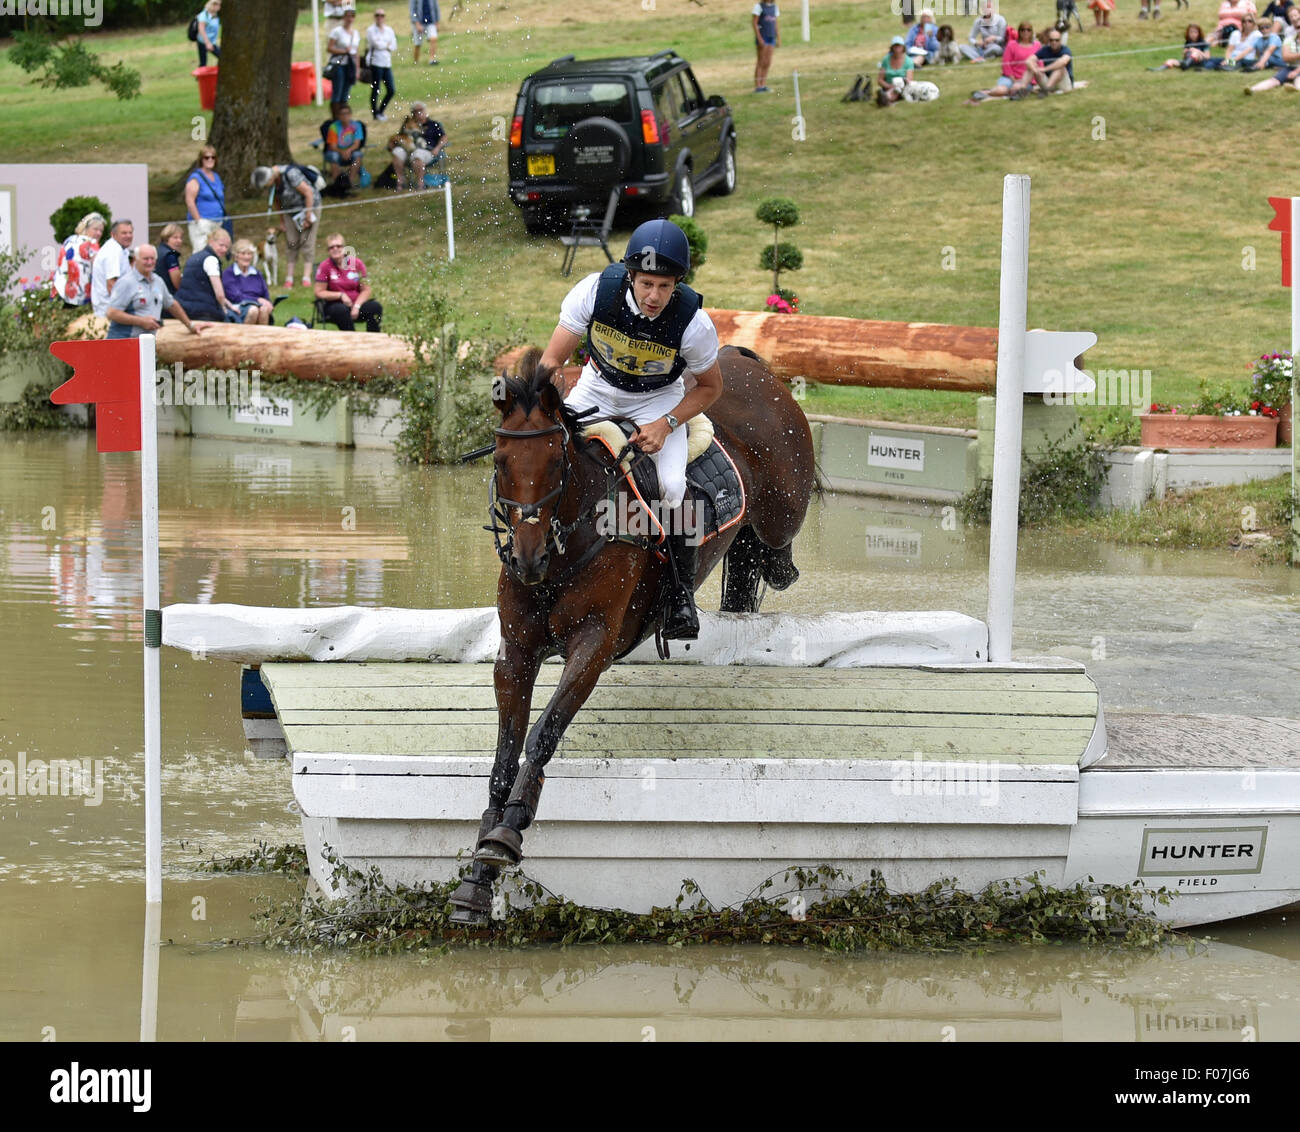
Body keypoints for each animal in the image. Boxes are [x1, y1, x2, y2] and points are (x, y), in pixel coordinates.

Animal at [447, 348, 811, 930]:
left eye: (556, 462)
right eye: (501, 462)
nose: (527, 559)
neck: (565, 546)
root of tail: (744, 361)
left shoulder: (594, 646)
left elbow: (543, 734)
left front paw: (509, 832)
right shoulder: (516, 654)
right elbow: (504, 754)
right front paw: (477, 877)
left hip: (781, 510)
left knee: (775, 552)